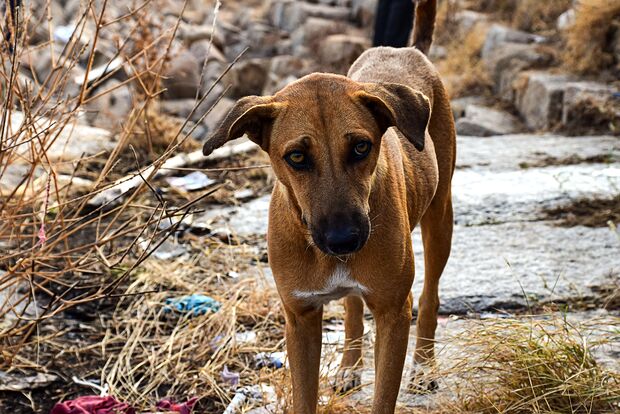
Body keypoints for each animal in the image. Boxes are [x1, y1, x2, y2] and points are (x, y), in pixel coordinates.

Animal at [205, 1, 456, 412]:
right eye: (296, 156)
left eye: (361, 147)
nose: (344, 240)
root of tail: (408, 50)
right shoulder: (300, 318)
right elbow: (304, 394)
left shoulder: (393, 312)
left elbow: (384, 396)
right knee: (353, 309)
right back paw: (350, 365)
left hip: (440, 218)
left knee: (430, 297)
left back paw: (423, 366)